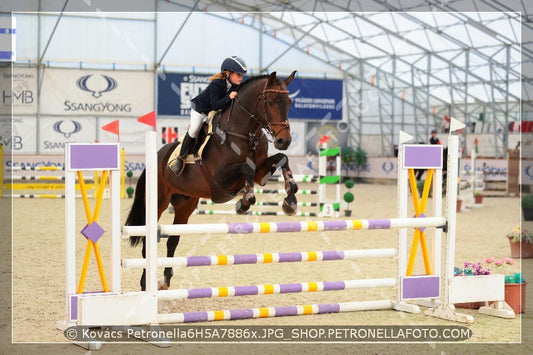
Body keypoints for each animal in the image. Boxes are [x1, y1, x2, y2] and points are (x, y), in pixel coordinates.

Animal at [125, 70, 300, 292]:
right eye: (269, 102)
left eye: (289, 102)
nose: (284, 141)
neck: (245, 132)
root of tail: (156, 157)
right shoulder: (221, 179)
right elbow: (247, 169)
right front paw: (244, 202)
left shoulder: (261, 173)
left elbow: (281, 159)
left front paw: (290, 201)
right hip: (158, 202)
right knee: (148, 242)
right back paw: (144, 283)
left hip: (185, 205)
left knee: (172, 240)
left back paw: (165, 280)